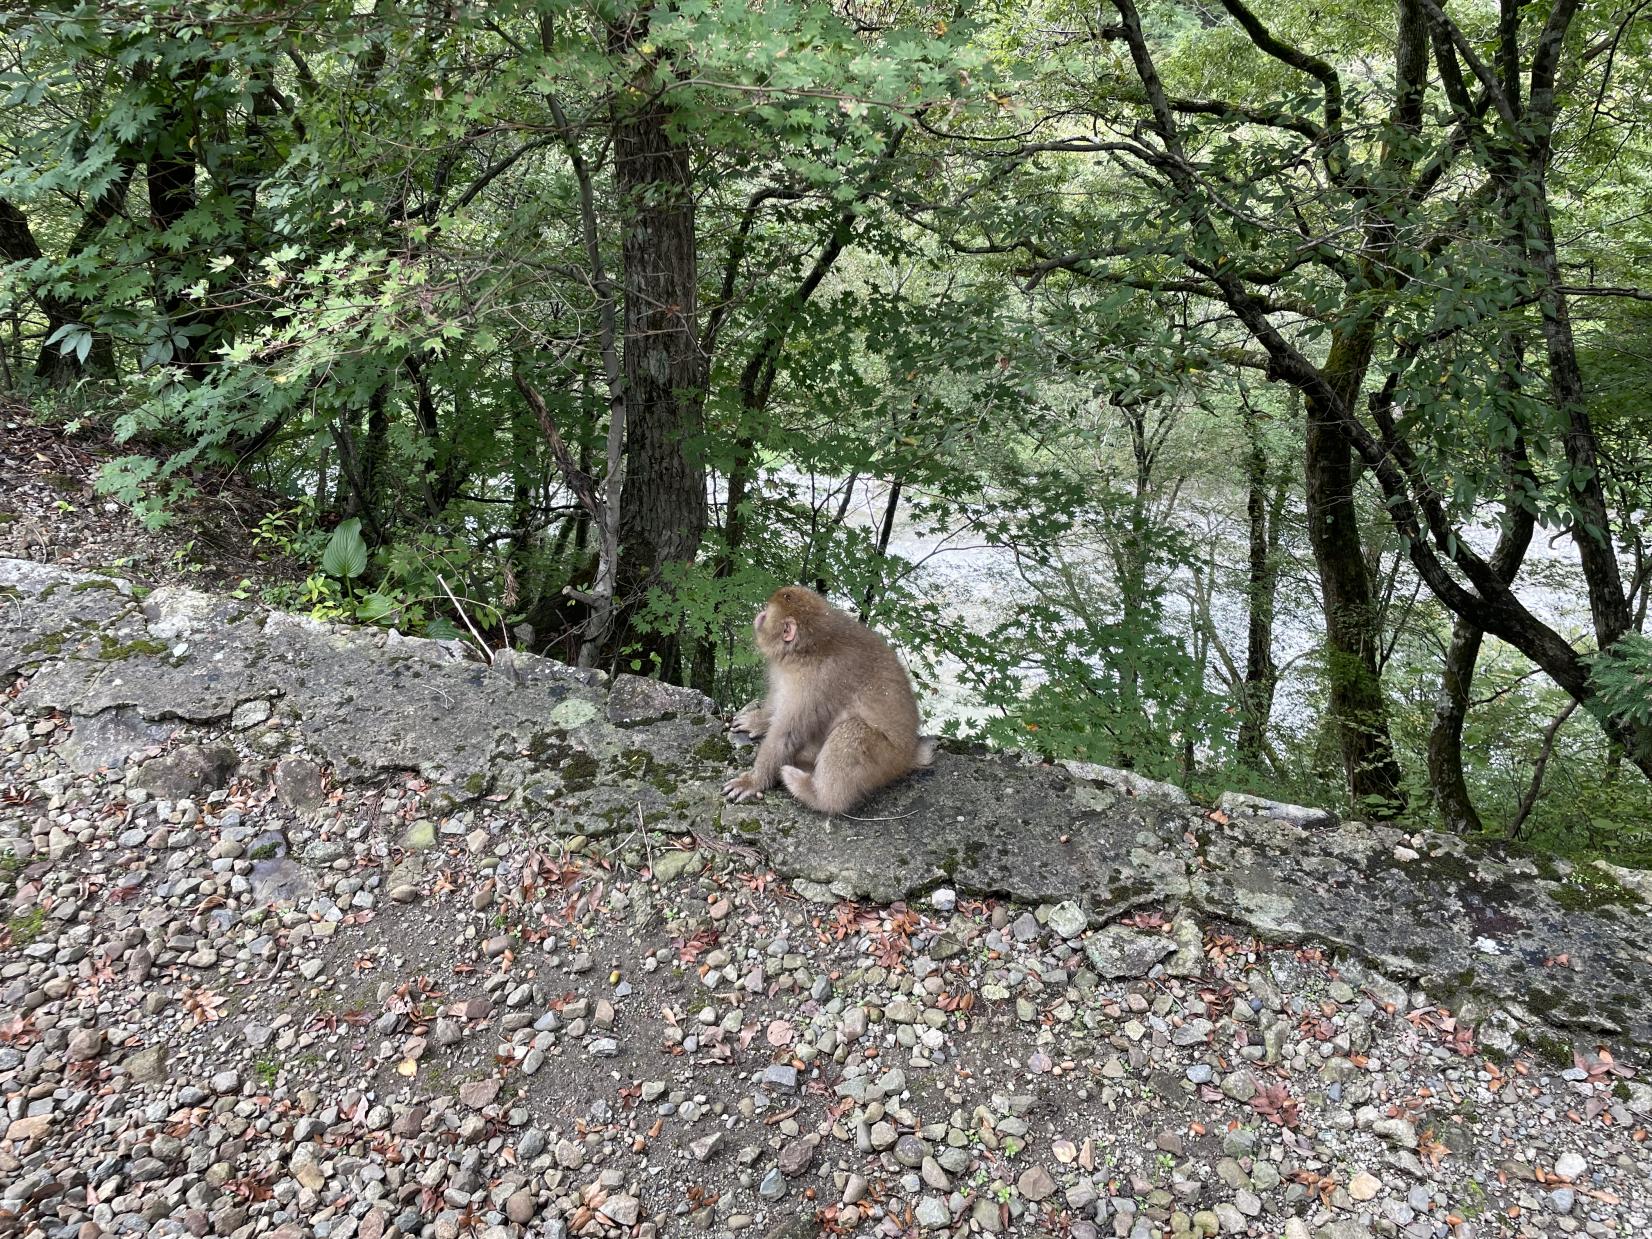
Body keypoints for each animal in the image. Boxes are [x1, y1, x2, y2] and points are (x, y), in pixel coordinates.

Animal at [720, 588, 938, 819]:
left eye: (766, 612)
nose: (759, 614)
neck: (805, 650)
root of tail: (910, 754)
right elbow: (777, 700)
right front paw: (758, 721)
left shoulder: (814, 683)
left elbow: (786, 735)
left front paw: (754, 780)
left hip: (886, 761)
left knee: (852, 729)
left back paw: (814, 793)